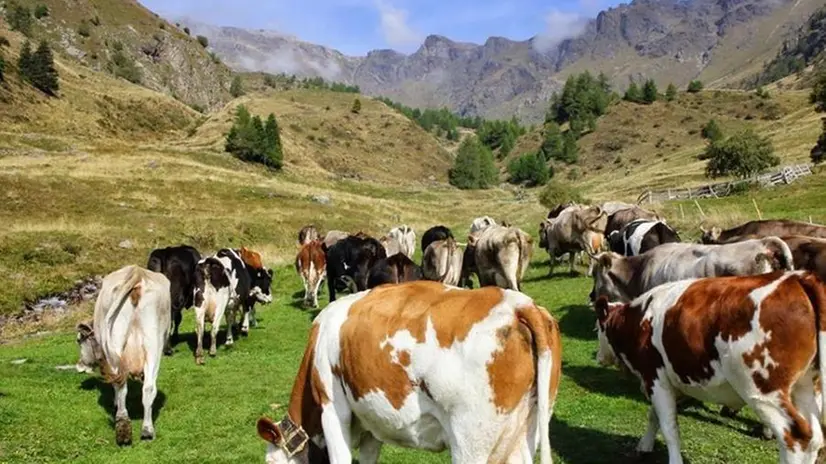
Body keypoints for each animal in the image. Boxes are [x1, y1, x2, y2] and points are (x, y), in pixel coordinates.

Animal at [75, 264, 171, 446]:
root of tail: (137, 273)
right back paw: (147, 430)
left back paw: (122, 424)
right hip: (154, 344)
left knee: (120, 384)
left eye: (79, 340)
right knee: (148, 387)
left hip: (115, 343)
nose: (79, 365)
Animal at [254, 280, 560, 464]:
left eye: (270, 462)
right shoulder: (372, 423)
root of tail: (516, 303)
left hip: (471, 438)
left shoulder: (332, 409)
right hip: (528, 427)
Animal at [592, 270, 824, 464]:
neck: (638, 320)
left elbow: (669, 428)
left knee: (795, 438)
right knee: (815, 438)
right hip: (805, 387)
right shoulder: (671, 381)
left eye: (597, 328)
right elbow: (655, 416)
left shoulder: (654, 378)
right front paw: (645, 446)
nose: (599, 357)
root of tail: (798, 278)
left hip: (762, 389)